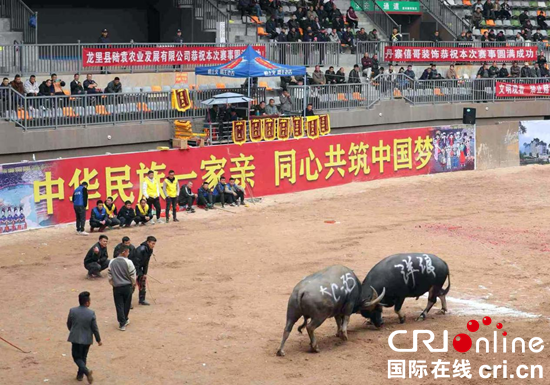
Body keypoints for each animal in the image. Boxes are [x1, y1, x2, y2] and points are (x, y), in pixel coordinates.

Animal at [276, 254, 452, 356]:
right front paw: (343, 334)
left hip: (292, 314)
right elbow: (344, 319)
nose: (381, 323)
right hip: (313, 316)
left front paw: (340, 333)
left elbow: (340, 320)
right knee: (306, 327)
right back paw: (313, 347)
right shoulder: (347, 306)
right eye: (376, 309)